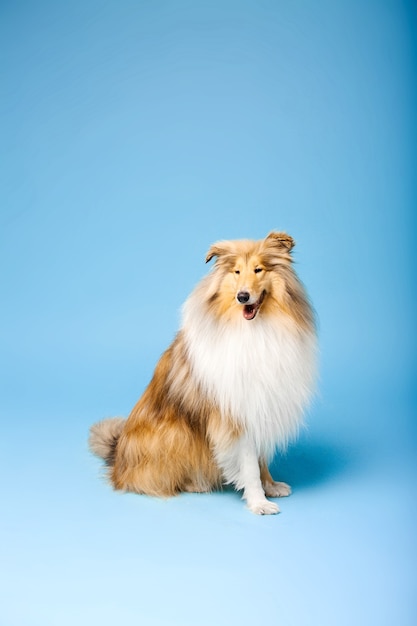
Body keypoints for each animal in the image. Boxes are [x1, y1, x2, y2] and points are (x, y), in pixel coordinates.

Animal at [88, 232, 316, 516]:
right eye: (236, 271)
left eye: (258, 269)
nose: (243, 296)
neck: (256, 329)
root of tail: (117, 454)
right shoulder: (235, 414)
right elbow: (250, 465)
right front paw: (259, 501)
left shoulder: (260, 404)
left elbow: (261, 457)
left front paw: (271, 486)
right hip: (174, 433)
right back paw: (194, 483)